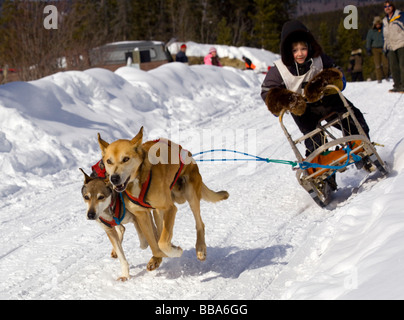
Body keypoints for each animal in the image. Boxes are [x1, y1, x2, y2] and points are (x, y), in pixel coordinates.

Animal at [97, 126, 229, 272]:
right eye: (109, 161)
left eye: (126, 159)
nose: (114, 178)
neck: (139, 179)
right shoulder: (142, 215)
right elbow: (155, 244)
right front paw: (158, 256)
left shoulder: (170, 208)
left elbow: (162, 243)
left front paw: (175, 251)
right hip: (157, 211)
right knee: (160, 231)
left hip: (190, 195)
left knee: (199, 223)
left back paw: (200, 248)